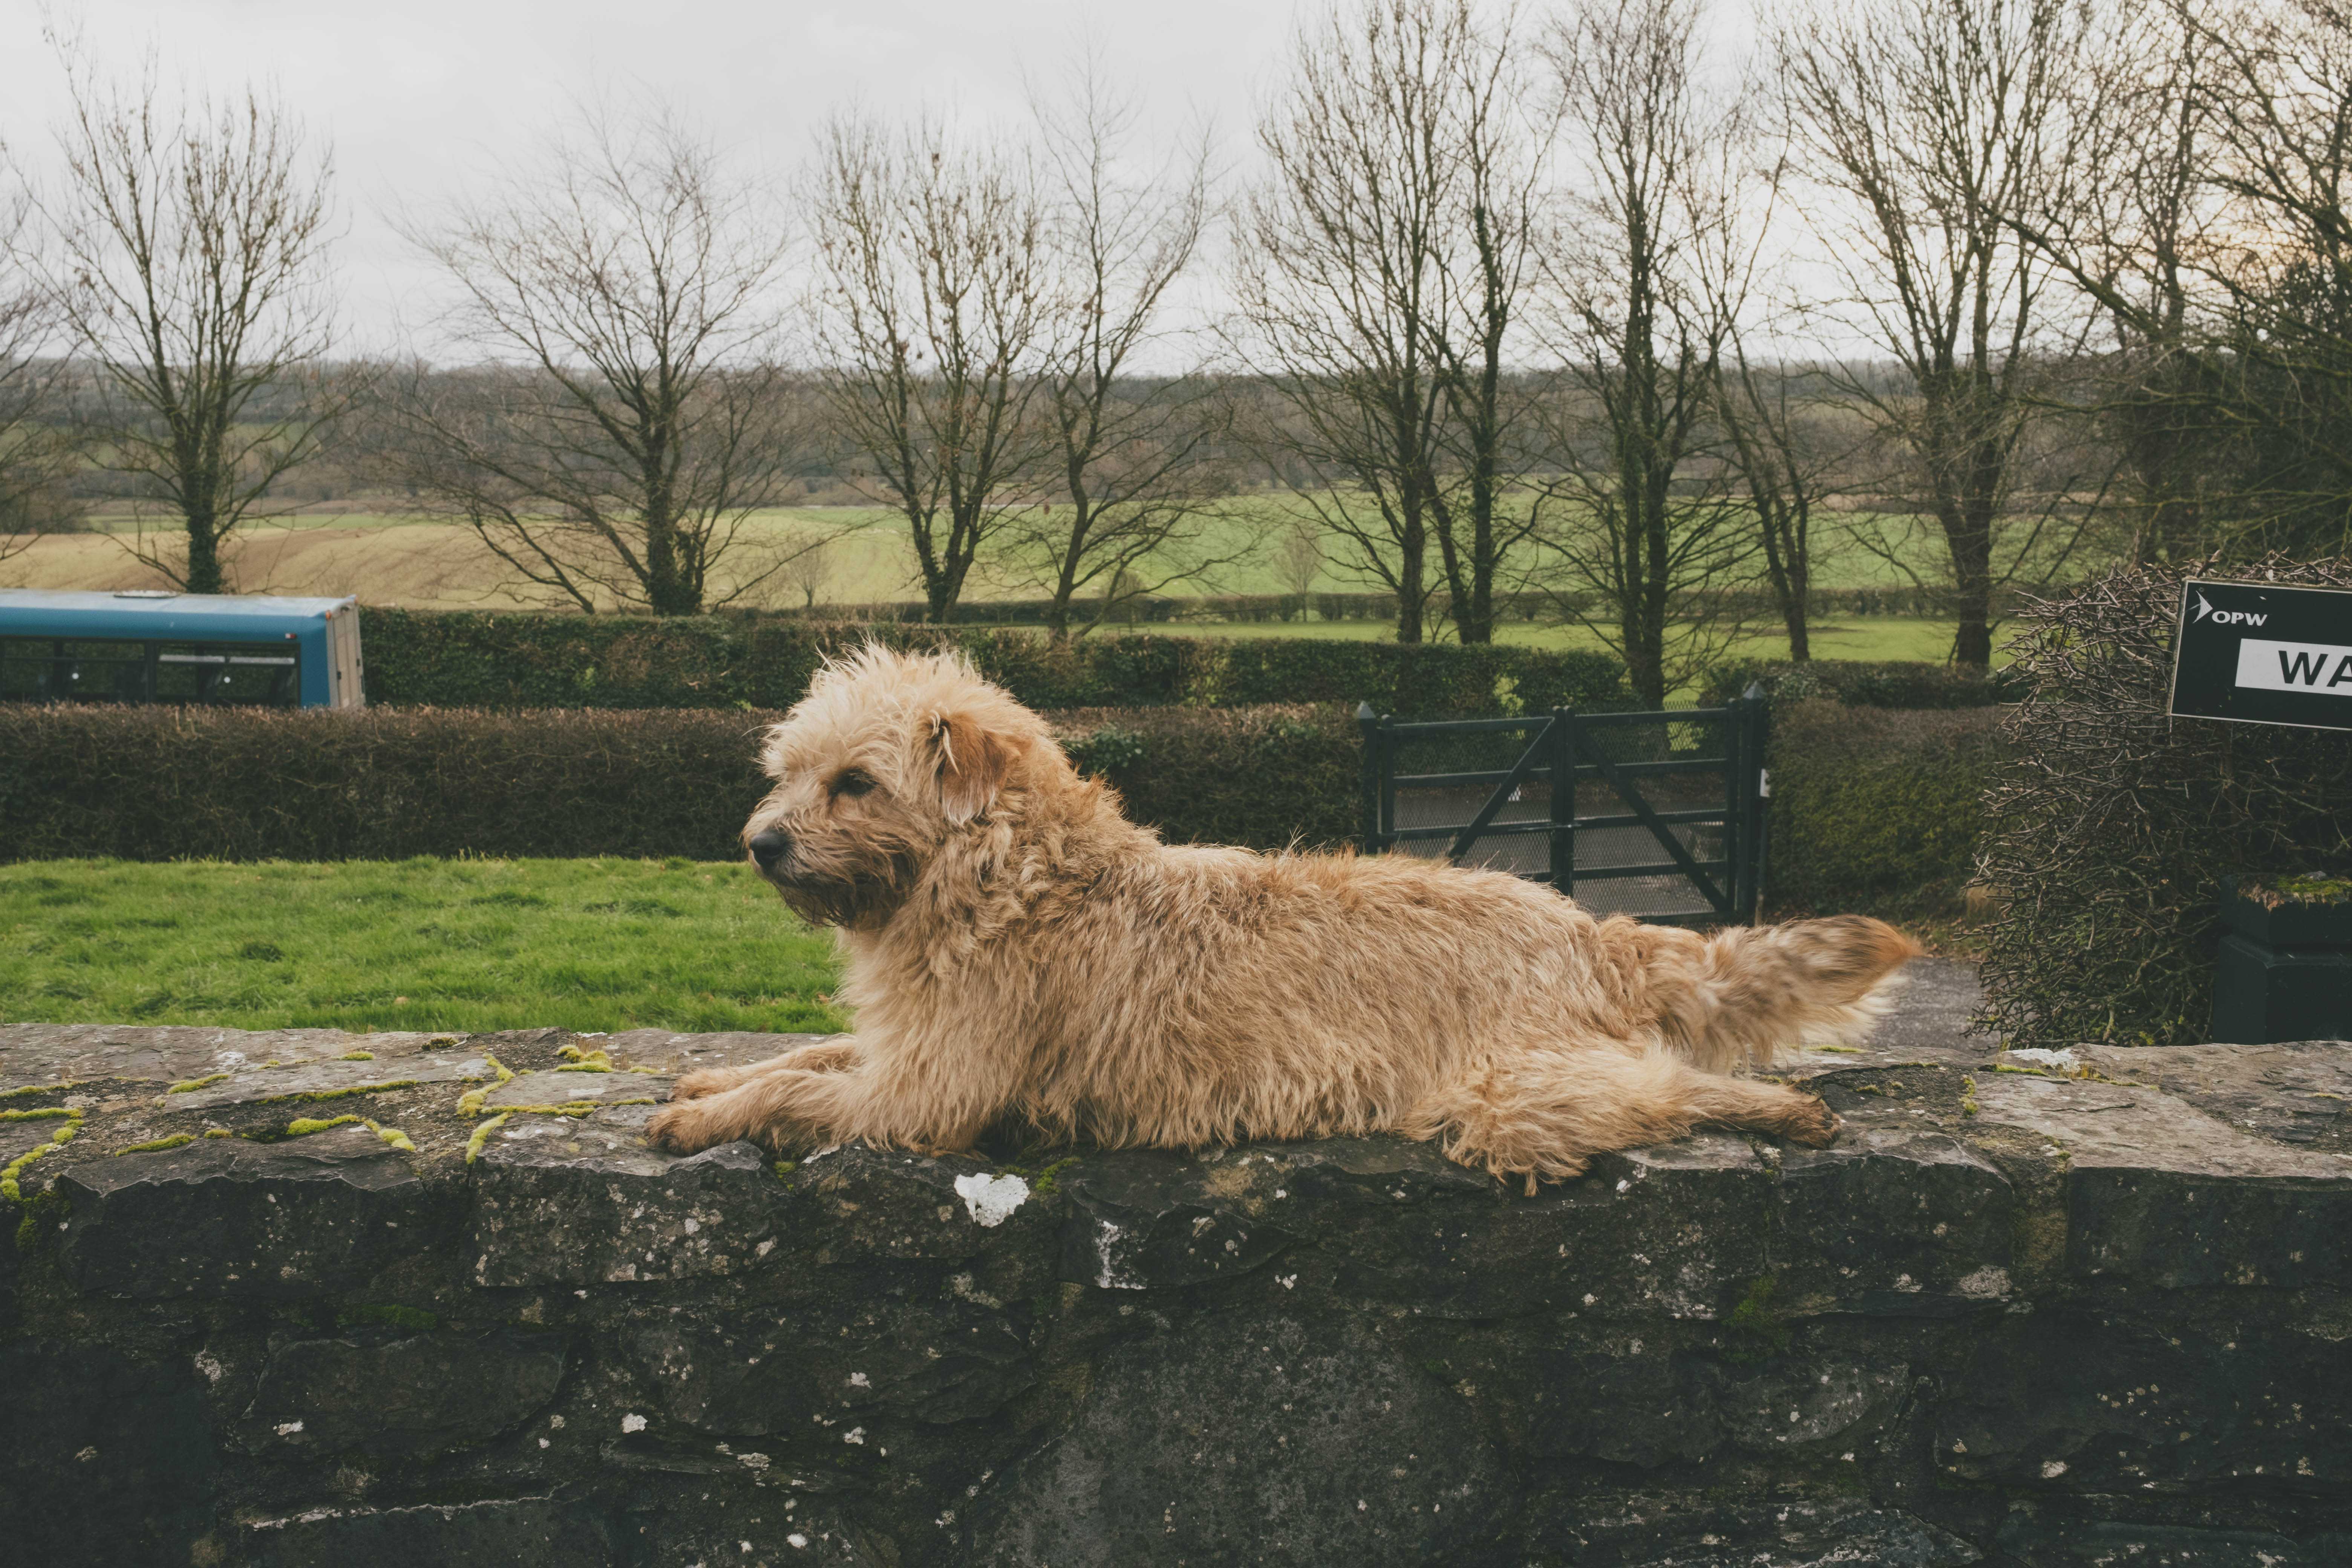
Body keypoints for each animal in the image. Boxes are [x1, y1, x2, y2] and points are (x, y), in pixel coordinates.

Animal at [640, 649, 1909, 1189]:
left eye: (854, 782)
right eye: (789, 774)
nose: (760, 843)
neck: (1007, 871)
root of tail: (1589, 930)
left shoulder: (929, 1092)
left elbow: (807, 1093)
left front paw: (711, 1115)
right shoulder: (903, 1050)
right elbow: (810, 1056)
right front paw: (713, 1080)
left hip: (1501, 1094)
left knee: (1649, 1093)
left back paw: (1773, 1112)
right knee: (1664, 1082)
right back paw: (1785, 1110)